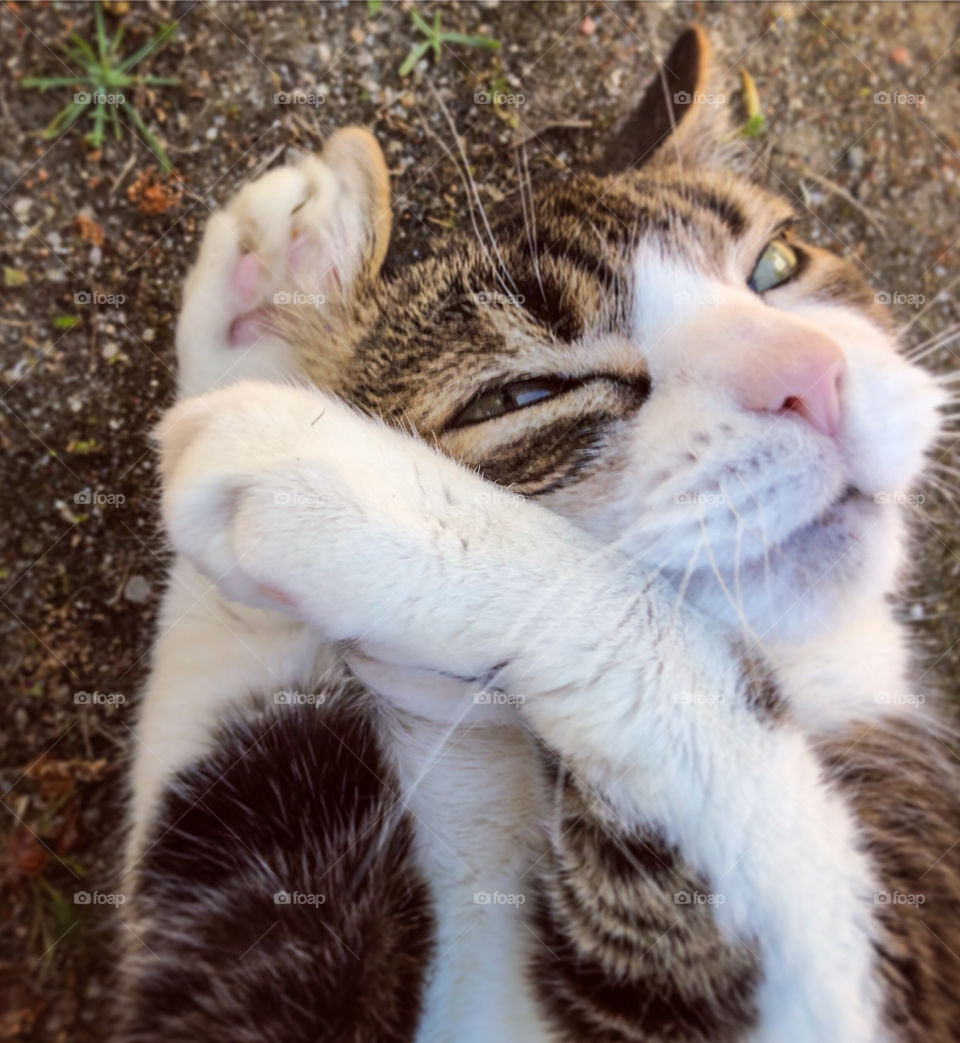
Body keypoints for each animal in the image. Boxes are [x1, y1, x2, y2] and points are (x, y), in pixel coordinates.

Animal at [120, 24, 960, 1043]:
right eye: (522, 394)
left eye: (774, 265)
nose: (814, 373)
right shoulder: (255, 933)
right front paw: (275, 308)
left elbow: (667, 658)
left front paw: (334, 477)